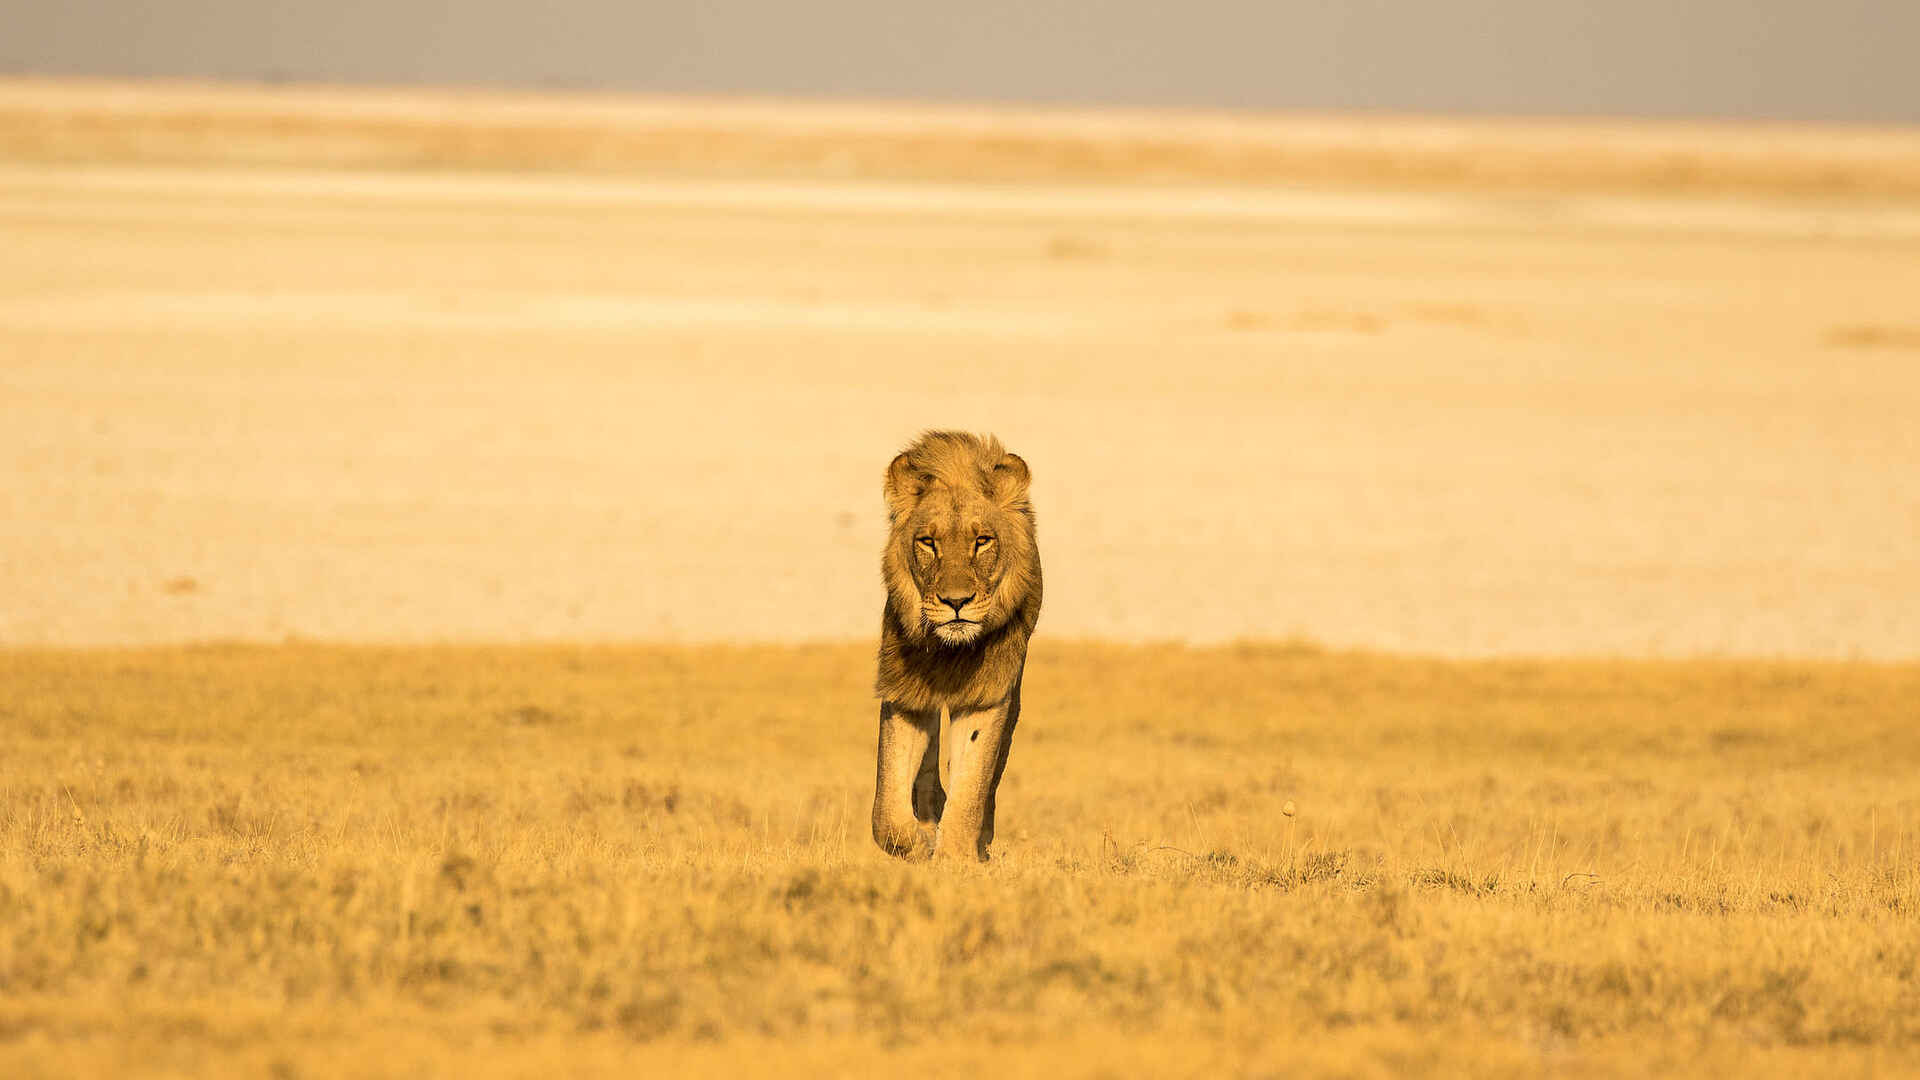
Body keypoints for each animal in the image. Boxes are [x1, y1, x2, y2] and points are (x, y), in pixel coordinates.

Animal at [871, 431, 1042, 862]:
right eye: (928, 542)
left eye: (982, 541)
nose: (956, 602)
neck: (951, 652)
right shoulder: (906, 692)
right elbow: (887, 805)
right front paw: (917, 843)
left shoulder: (987, 694)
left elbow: (973, 787)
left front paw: (958, 855)